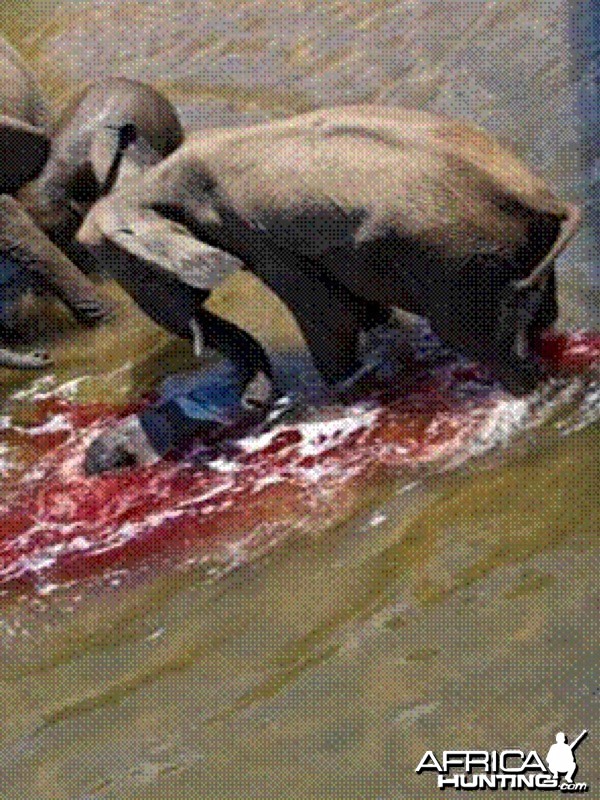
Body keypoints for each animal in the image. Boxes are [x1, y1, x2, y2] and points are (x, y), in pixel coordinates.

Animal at [76, 103, 580, 472]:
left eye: (138, 278)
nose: (252, 401)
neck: (149, 182)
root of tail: (539, 197)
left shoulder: (258, 239)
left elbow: (331, 319)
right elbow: (363, 314)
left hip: (459, 266)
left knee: (484, 345)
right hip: (502, 256)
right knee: (533, 323)